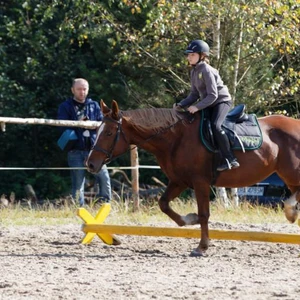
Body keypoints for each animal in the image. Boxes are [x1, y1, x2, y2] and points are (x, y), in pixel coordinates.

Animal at [86, 100, 300, 255]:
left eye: (109, 132)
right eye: (97, 131)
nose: (90, 164)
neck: (175, 138)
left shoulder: (200, 182)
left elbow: (204, 214)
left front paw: (202, 246)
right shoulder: (179, 181)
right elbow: (164, 204)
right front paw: (189, 219)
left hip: (292, 173)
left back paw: (290, 210)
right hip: (289, 176)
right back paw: (292, 211)